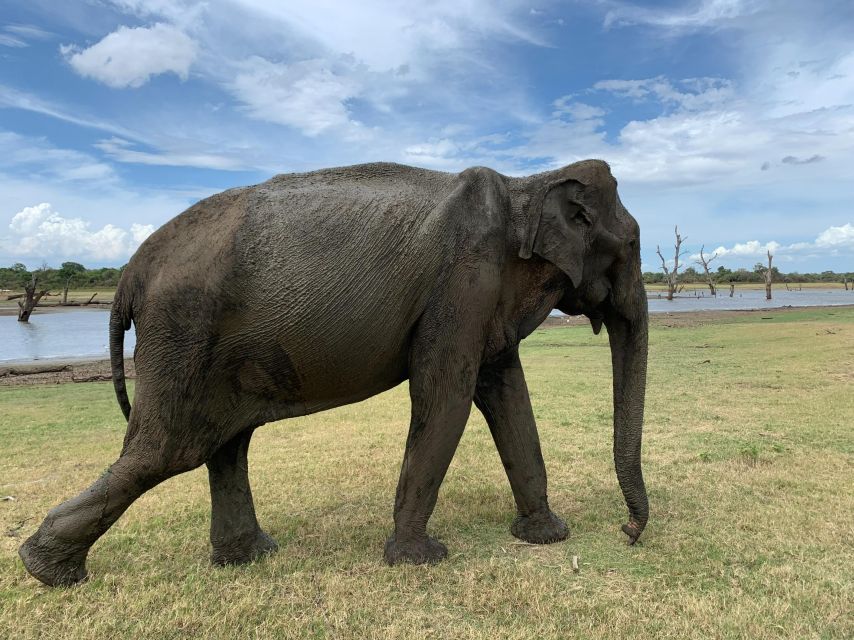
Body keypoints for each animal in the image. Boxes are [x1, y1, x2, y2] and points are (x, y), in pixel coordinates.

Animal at [18, 159, 648, 584]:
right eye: (635, 243)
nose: (629, 533)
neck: (528, 184)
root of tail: (130, 271)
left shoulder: (484, 299)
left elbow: (507, 395)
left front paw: (547, 536)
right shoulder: (462, 284)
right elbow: (445, 398)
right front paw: (418, 561)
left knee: (223, 444)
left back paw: (249, 557)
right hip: (181, 331)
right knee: (169, 449)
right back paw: (46, 571)